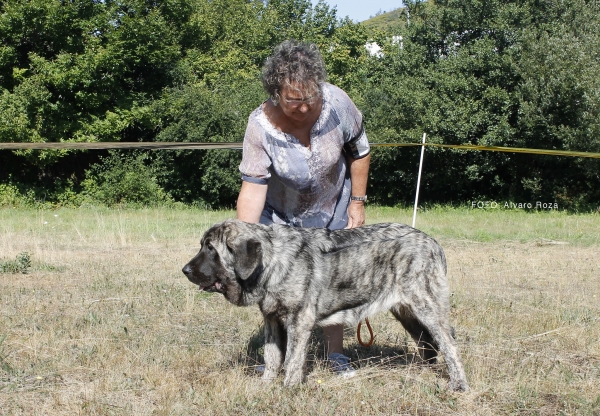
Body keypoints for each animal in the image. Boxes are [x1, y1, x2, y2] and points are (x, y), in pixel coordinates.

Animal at [182, 219, 468, 392]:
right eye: (202, 246)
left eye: (211, 249)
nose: (185, 270)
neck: (273, 261)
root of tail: (433, 243)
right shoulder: (272, 321)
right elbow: (272, 357)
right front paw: (266, 385)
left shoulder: (299, 322)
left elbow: (292, 360)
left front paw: (288, 389)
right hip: (406, 311)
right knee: (426, 340)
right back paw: (422, 371)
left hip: (426, 306)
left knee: (448, 343)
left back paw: (458, 384)